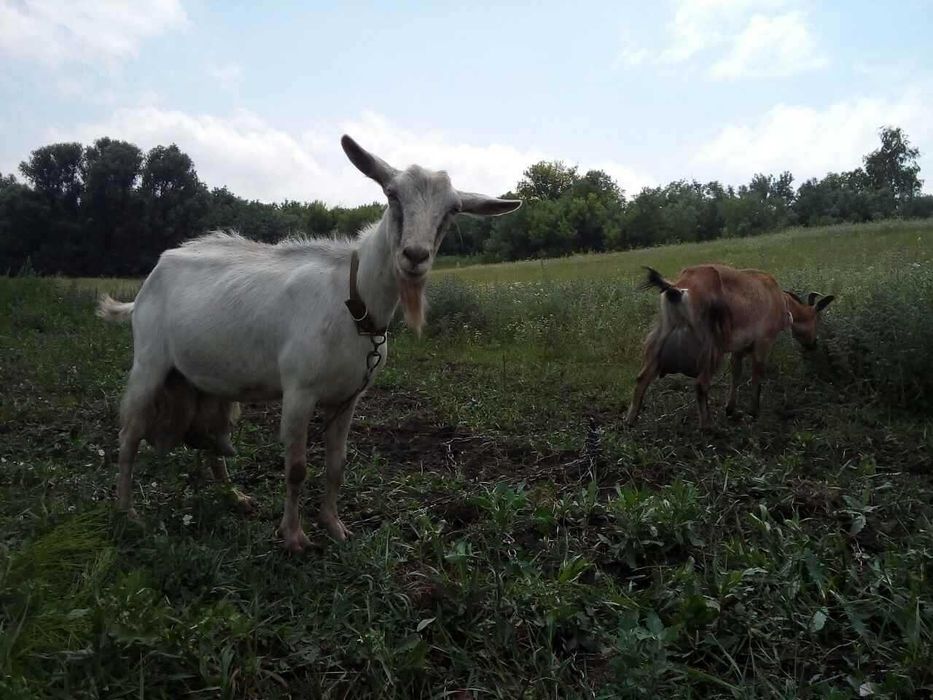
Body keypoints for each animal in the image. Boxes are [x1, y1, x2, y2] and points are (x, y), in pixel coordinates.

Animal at [98, 135, 521, 552]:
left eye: (453, 210)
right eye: (391, 194)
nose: (414, 256)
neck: (353, 302)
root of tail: (149, 280)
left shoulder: (349, 397)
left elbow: (337, 465)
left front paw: (334, 526)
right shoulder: (299, 391)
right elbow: (297, 468)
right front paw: (294, 536)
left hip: (207, 384)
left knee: (210, 440)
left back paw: (236, 497)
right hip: (149, 364)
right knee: (129, 435)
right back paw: (127, 511)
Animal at [625, 264, 834, 428]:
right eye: (816, 319)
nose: (813, 344)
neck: (780, 300)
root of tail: (677, 290)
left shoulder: (739, 347)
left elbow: (736, 372)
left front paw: (731, 409)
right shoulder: (764, 341)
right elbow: (757, 374)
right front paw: (753, 411)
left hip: (659, 338)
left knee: (642, 378)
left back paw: (630, 420)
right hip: (710, 346)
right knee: (701, 384)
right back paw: (707, 427)